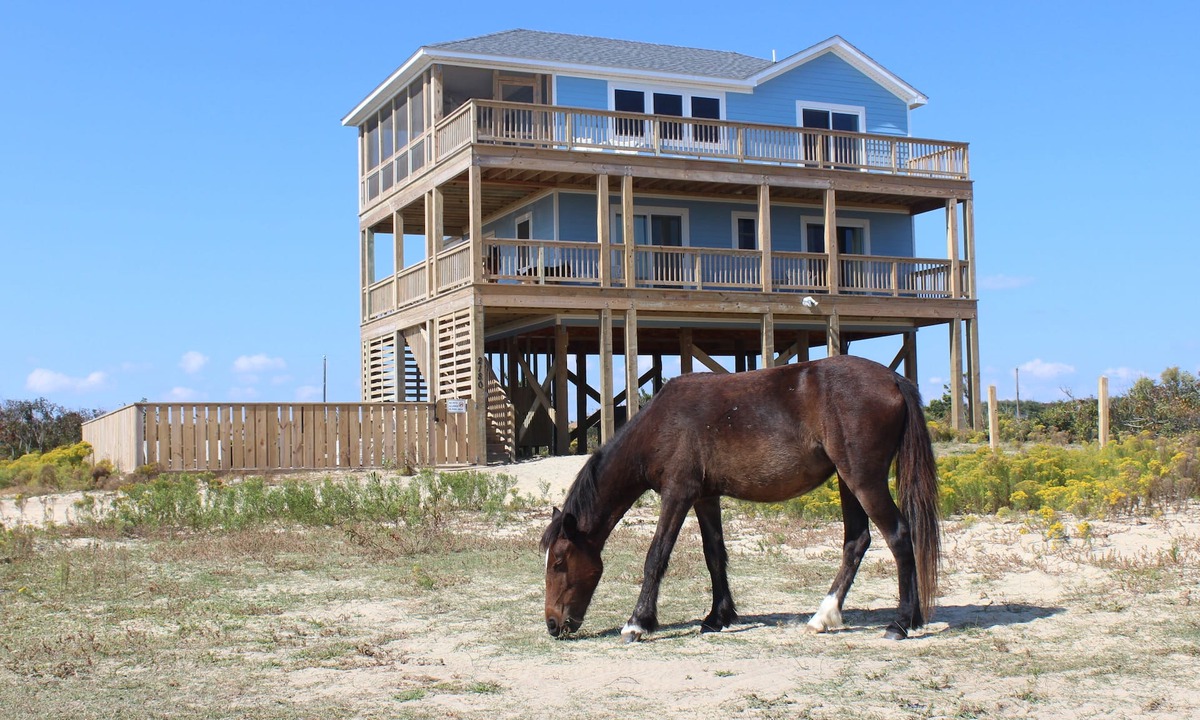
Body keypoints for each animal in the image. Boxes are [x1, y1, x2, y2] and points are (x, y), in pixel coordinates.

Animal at [540, 354, 941, 642]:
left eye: (559, 561)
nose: (553, 624)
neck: (662, 424)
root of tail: (893, 379)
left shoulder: (677, 494)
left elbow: (656, 556)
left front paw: (638, 622)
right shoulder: (705, 498)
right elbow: (714, 555)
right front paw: (717, 617)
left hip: (864, 481)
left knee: (899, 537)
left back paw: (900, 623)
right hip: (848, 481)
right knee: (856, 542)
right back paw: (825, 617)